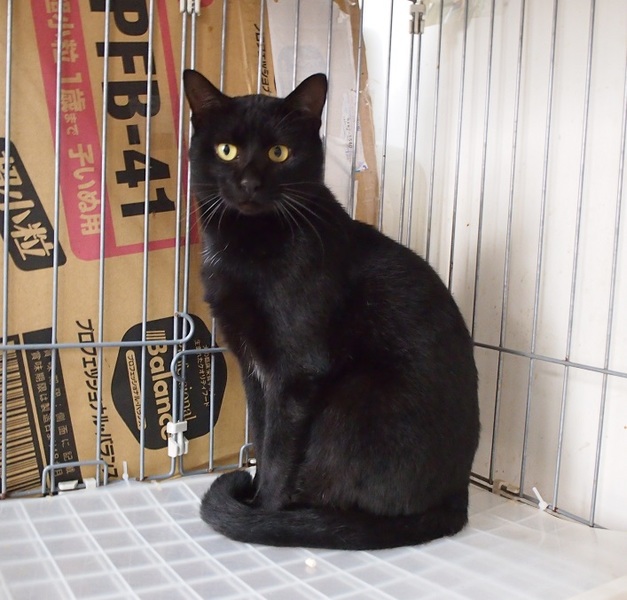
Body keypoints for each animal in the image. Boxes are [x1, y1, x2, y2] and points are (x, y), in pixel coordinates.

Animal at [183, 69, 480, 550]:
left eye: (279, 153)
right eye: (226, 150)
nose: (248, 184)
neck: (246, 246)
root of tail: (458, 498)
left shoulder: (297, 371)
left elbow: (278, 452)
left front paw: (261, 513)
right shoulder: (252, 369)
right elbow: (261, 434)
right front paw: (255, 495)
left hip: (351, 399)